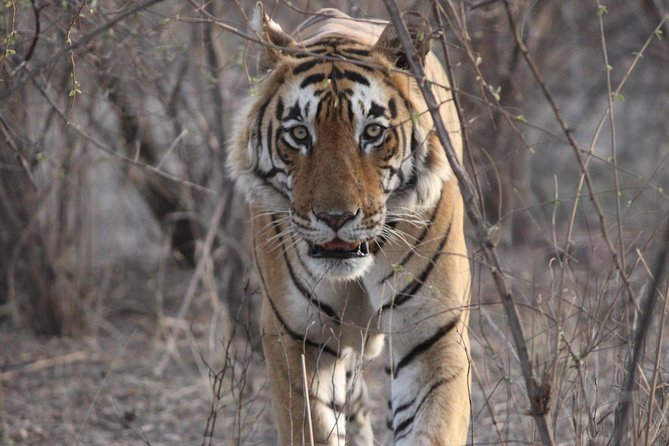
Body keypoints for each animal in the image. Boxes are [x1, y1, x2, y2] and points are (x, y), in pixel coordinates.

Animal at [227, 4, 471, 445]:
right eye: (299, 133)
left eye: (372, 132)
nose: (335, 218)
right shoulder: (297, 338)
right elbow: (312, 425)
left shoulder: (433, 336)